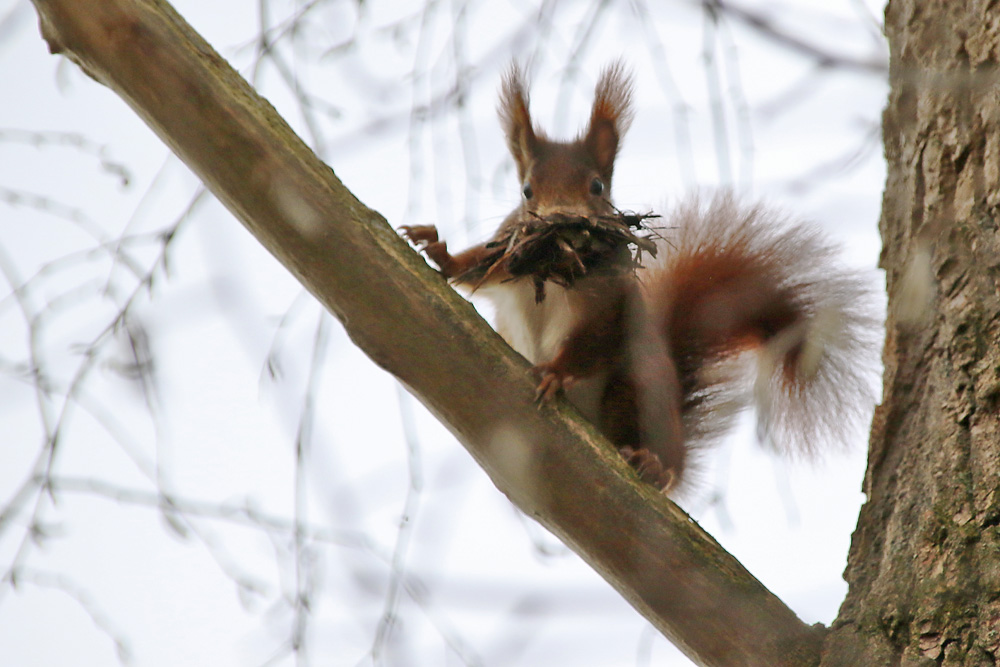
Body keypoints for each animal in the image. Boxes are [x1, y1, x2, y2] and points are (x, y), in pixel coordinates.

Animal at [402, 62, 880, 496]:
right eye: (526, 190)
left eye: (597, 186)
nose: (562, 223)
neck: (554, 271)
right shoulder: (506, 258)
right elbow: (474, 269)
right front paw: (440, 252)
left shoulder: (612, 301)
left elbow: (594, 339)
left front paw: (556, 372)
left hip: (639, 386)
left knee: (658, 456)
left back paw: (653, 466)